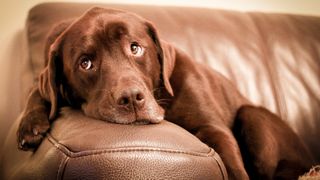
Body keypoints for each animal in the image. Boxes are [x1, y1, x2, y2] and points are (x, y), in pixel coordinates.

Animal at [16, 6, 312, 179]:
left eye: (135, 48)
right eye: (85, 62)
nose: (131, 98)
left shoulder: (215, 129)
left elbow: (234, 166)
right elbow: (37, 90)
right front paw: (30, 125)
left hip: (252, 115)